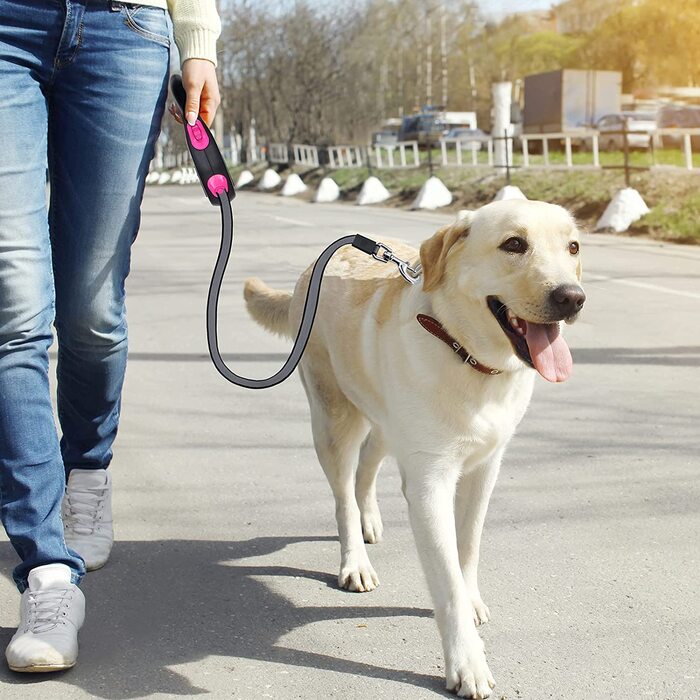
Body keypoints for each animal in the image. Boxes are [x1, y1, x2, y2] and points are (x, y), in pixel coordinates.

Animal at [243, 200, 584, 696]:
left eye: (573, 247)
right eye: (514, 244)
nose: (572, 298)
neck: (467, 355)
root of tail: (311, 269)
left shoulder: (484, 469)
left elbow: (468, 548)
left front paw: (471, 597)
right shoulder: (430, 484)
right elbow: (446, 580)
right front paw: (467, 662)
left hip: (385, 421)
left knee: (366, 468)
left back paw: (369, 520)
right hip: (333, 419)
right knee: (343, 493)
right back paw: (355, 560)